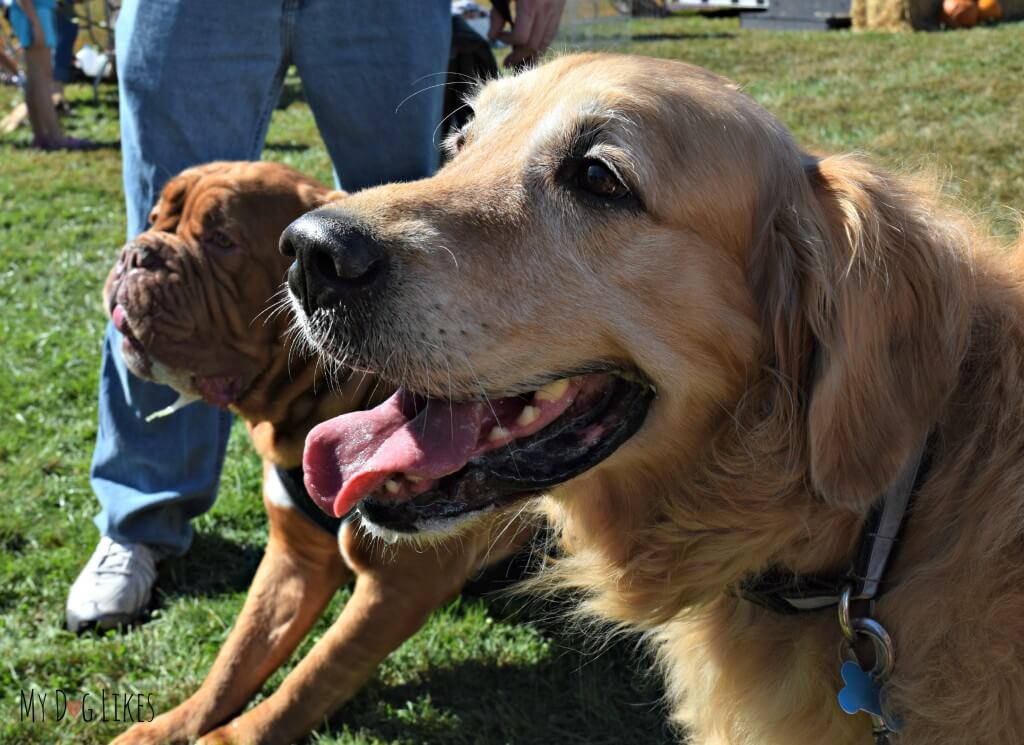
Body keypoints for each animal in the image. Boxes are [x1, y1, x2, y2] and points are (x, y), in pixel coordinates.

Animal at [108, 162, 532, 745]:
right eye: (153, 218)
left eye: (222, 241)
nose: (137, 253)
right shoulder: (294, 559)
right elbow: (235, 660)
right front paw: (171, 726)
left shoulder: (397, 588)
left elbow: (306, 682)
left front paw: (227, 738)